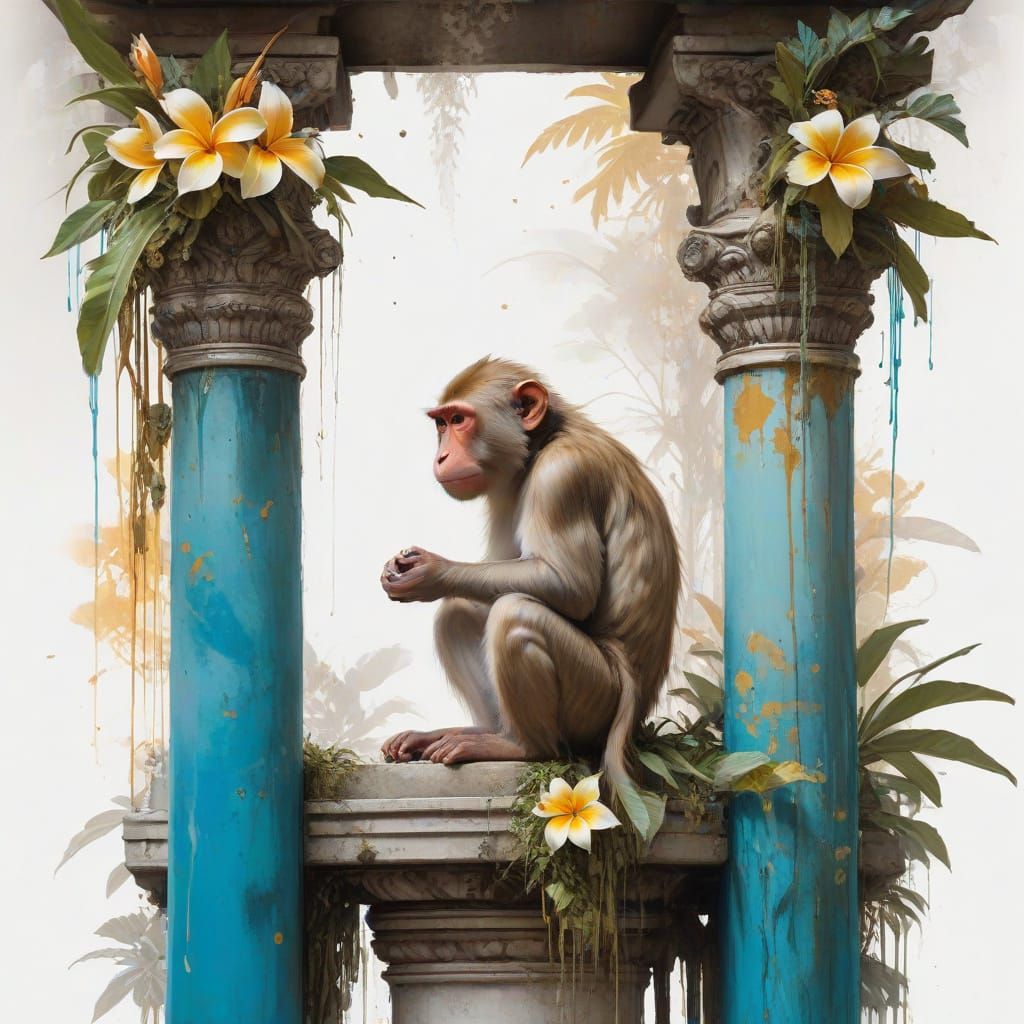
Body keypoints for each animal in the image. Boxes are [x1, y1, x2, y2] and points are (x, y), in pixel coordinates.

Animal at [379, 357, 680, 794]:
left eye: (459, 420)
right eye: (441, 424)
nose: (441, 456)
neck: (544, 442)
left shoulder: (562, 476)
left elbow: (569, 586)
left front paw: (432, 571)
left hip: (595, 702)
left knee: (516, 614)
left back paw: (522, 746)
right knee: (459, 612)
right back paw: (482, 732)